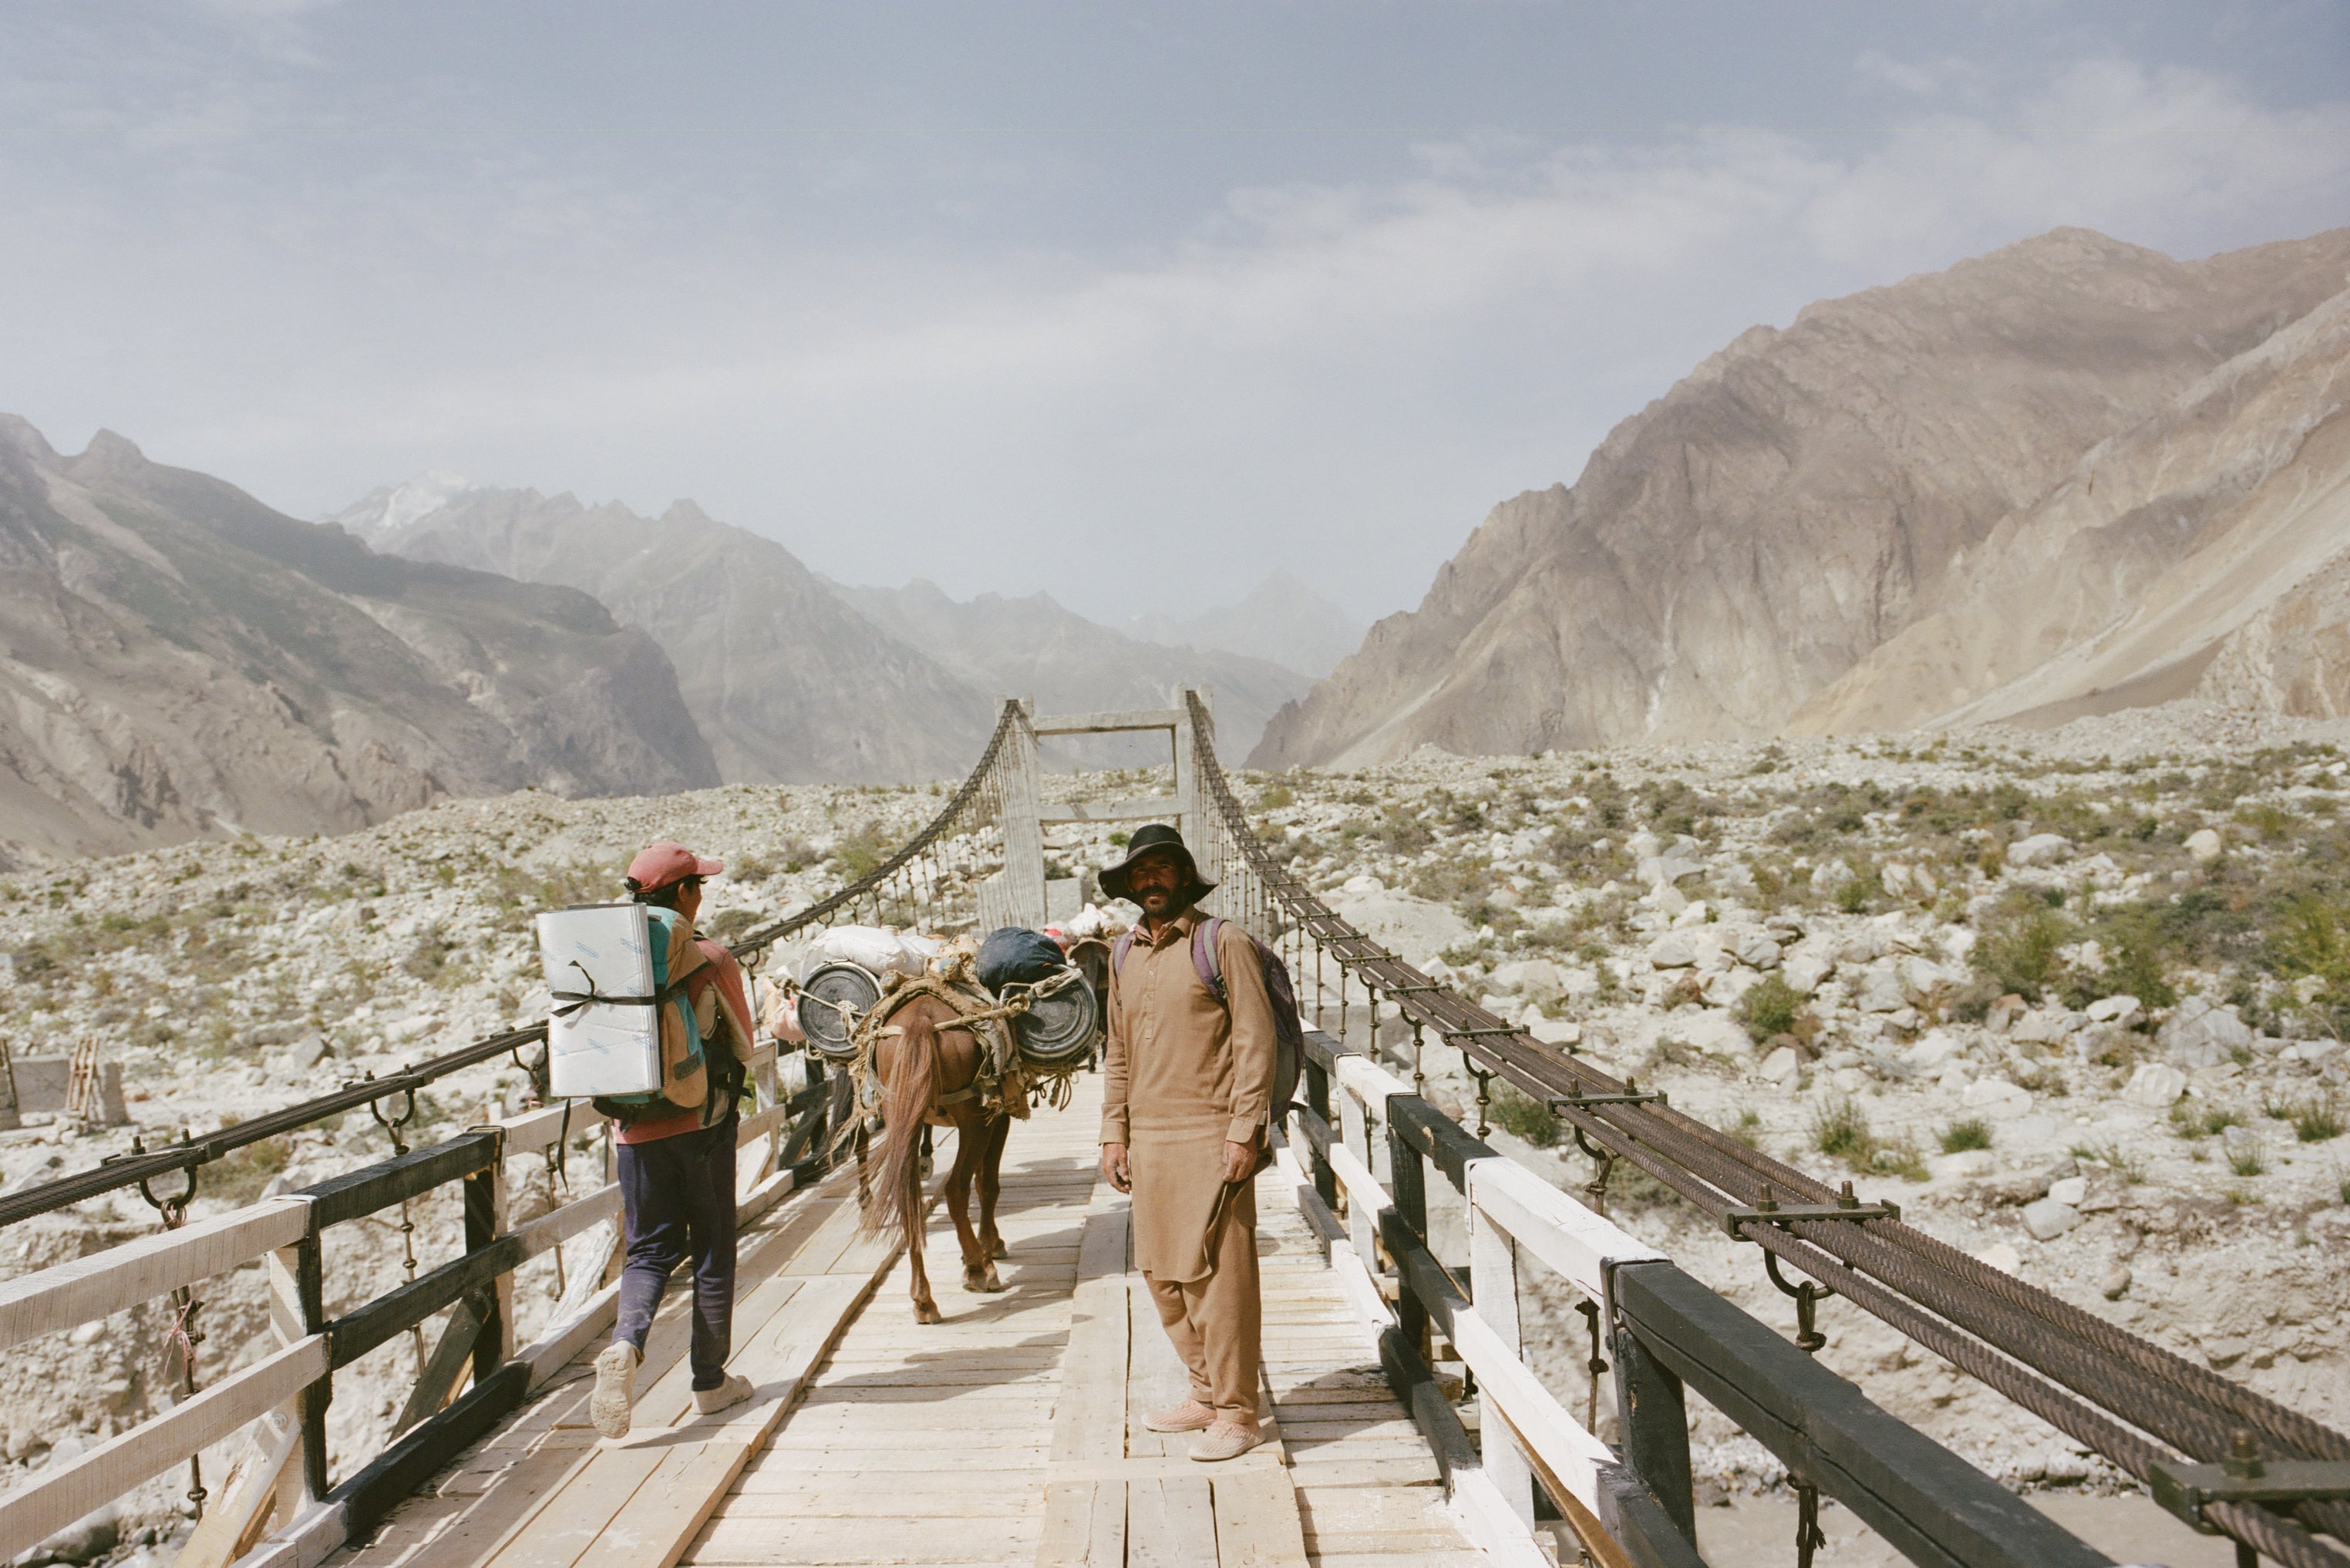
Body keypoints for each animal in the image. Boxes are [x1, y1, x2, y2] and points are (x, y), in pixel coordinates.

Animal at [864, 991, 1010, 1325]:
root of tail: (921, 1019)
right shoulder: (998, 1118)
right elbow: (987, 1185)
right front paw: (990, 1246)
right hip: (974, 1123)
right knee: (956, 1189)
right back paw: (979, 1269)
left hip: (902, 1117)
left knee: (909, 1202)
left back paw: (923, 1299)